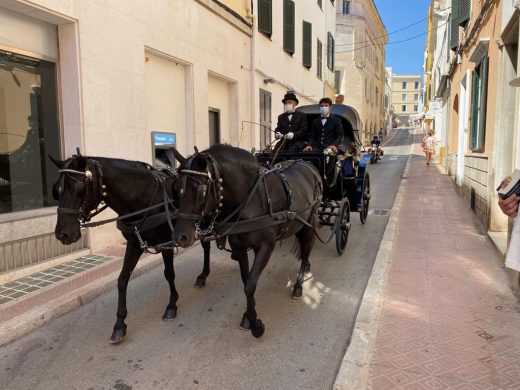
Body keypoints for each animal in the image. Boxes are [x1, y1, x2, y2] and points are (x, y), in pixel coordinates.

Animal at [50, 154, 213, 342]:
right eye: (57, 189)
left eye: (79, 188)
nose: (62, 234)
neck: (145, 199)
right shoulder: (134, 244)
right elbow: (122, 280)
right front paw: (120, 324)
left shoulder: (166, 243)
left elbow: (169, 274)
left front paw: (172, 305)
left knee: (206, 246)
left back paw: (203, 275)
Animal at [173, 145, 322, 336]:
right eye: (176, 187)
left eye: (200, 191)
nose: (181, 237)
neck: (252, 199)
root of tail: (307, 163)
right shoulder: (240, 247)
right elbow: (246, 280)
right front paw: (249, 315)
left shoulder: (266, 246)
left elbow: (250, 285)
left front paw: (255, 325)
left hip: (308, 224)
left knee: (305, 249)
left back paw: (298, 285)